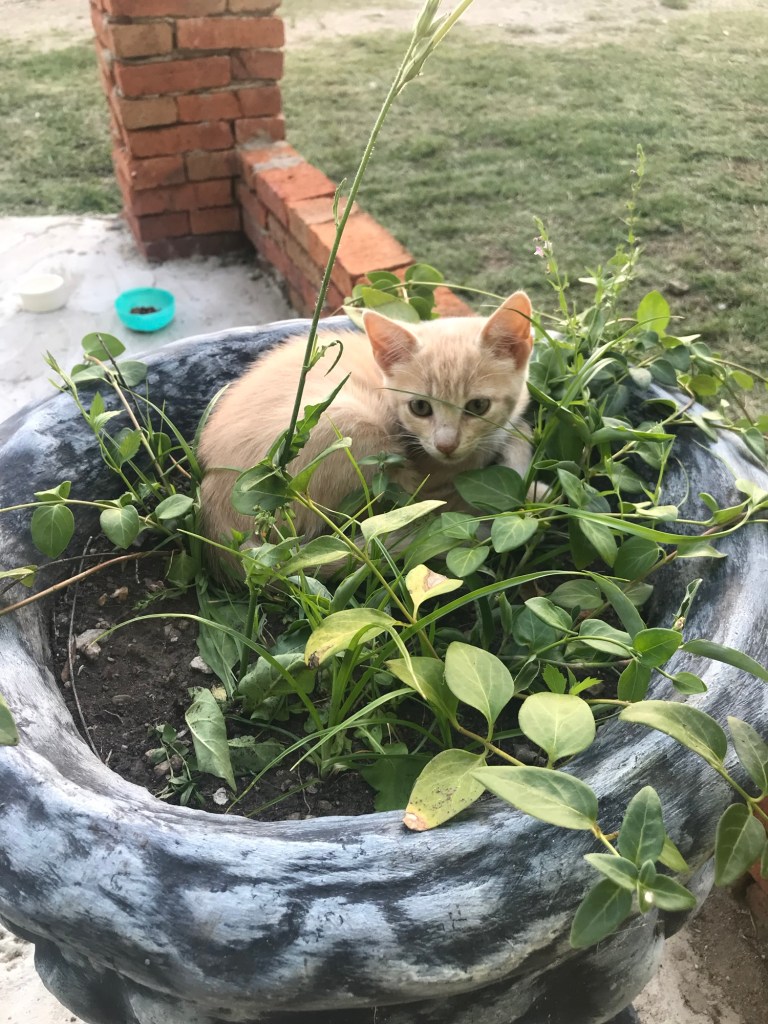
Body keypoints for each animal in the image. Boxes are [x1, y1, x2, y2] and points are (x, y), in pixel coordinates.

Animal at [198, 291, 534, 552]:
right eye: (420, 407)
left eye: (478, 405)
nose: (446, 445)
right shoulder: (433, 482)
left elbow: (519, 429)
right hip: (350, 426)